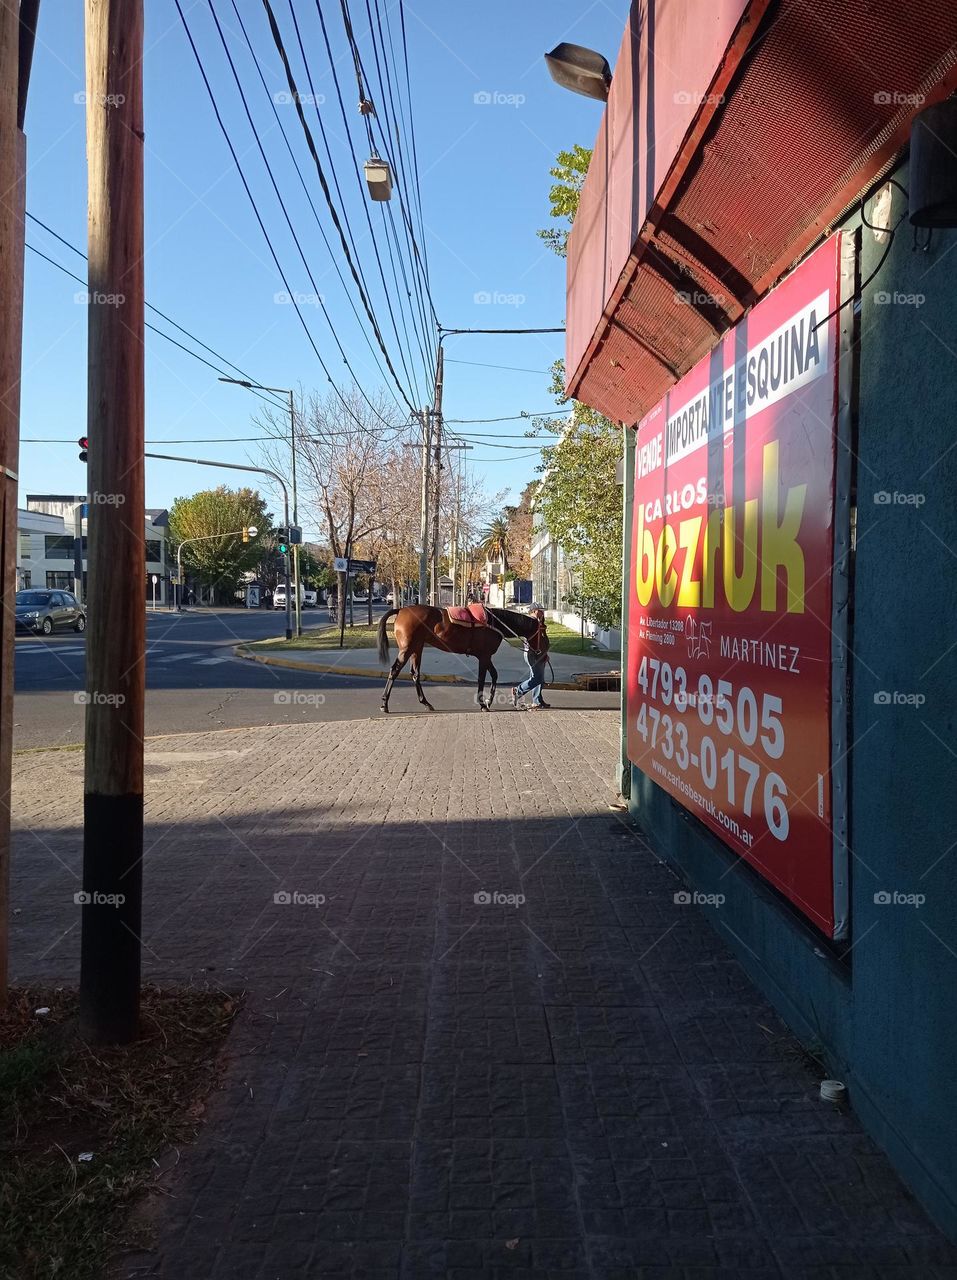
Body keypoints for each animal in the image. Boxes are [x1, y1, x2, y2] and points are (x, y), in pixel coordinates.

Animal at [378, 606, 545, 716]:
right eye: (543, 632)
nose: (543, 651)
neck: (494, 622)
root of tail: (401, 610)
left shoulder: (486, 657)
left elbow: (495, 675)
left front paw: (489, 701)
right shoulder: (484, 656)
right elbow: (482, 679)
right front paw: (483, 704)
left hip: (417, 648)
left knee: (415, 674)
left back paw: (426, 702)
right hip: (407, 649)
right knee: (394, 670)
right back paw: (384, 703)